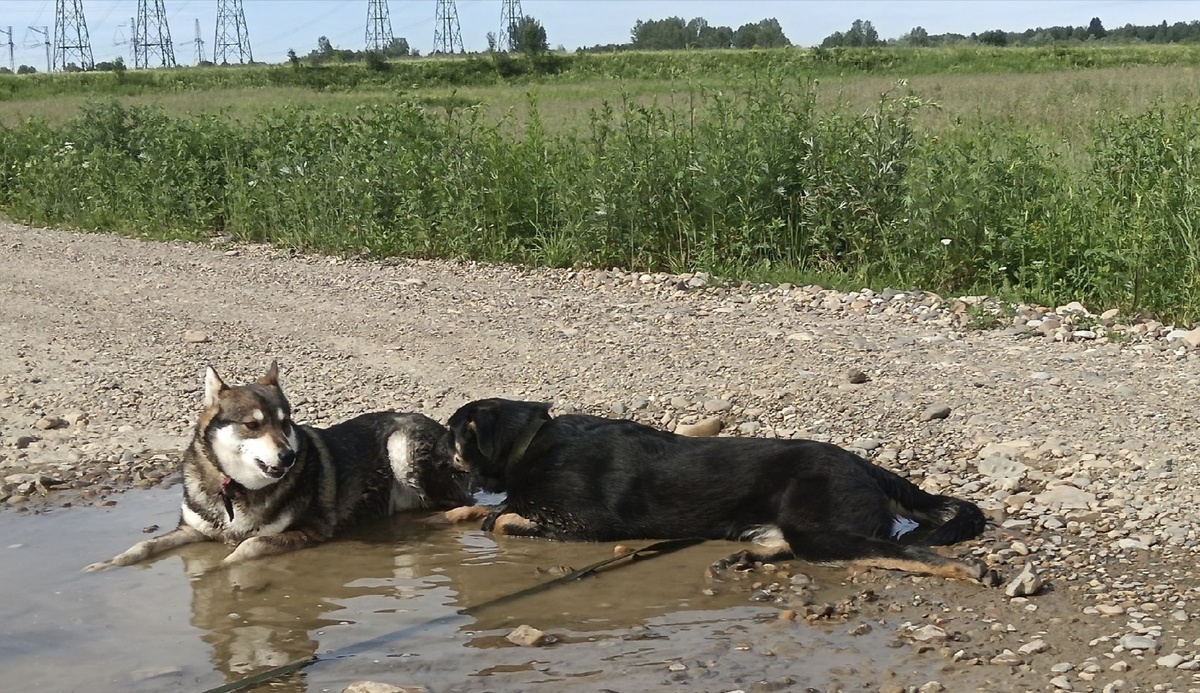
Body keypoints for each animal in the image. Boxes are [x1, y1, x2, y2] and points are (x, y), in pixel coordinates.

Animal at [84, 359, 472, 568]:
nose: (289, 456)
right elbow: (143, 546)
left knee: (459, 501)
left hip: (401, 449)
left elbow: (247, 546)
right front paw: (107, 563)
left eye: (285, 423)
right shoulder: (191, 529)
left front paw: (218, 570)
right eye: (253, 425)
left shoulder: (309, 531)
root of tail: (443, 427)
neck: (236, 489)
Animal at [441, 393, 1003, 582]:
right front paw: (456, 514)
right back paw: (743, 559)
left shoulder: (582, 523)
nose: (440, 458)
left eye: (450, 435)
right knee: (782, 543)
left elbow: (502, 519)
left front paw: (491, 516)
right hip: (780, 524)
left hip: (817, 525)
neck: (529, 442)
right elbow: (490, 510)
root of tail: (865, 465)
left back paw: (964, 569)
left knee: (896, 552)